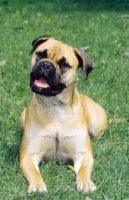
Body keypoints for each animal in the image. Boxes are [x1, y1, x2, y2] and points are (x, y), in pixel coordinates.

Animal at [19, 34, 107, 194]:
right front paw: (38, 185)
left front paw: (85, 183)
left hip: (97, 128)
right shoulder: (29, 155)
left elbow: (84, 170)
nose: (46, 65)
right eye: (40, 54)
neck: (55, 106)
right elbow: (34, 173)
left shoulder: (82, 154)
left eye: (64, 64)